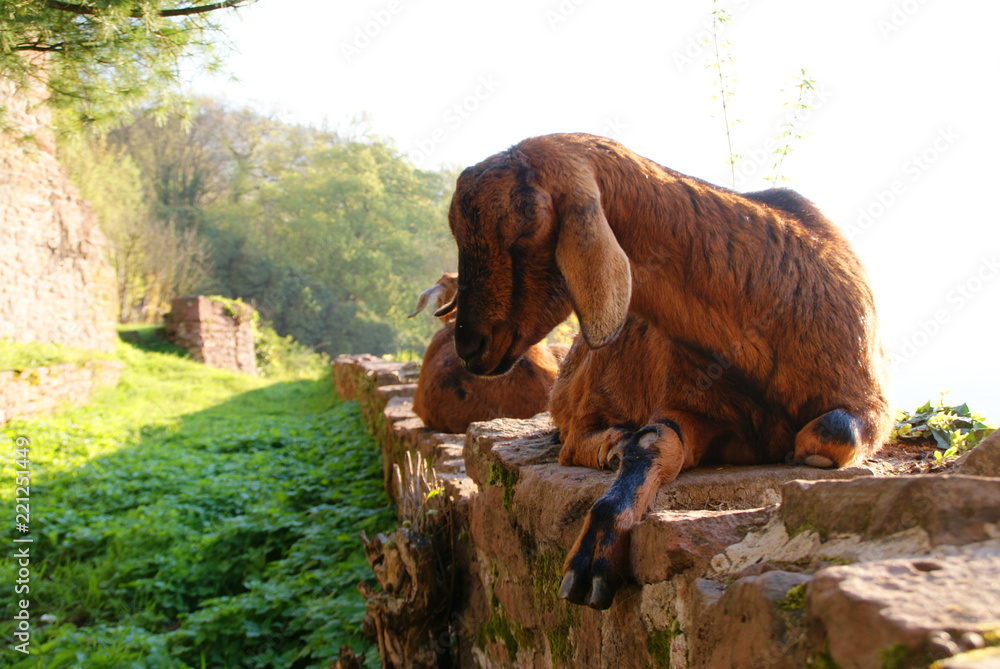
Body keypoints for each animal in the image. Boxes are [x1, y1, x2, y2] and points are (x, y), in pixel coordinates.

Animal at [441, 133, 891, 609]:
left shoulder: (872, 401)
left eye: (528, 222)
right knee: (572, 440)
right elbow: (651, 442)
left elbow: (837, 429)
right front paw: (591, 560)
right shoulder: (691, 402)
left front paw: (801, 452)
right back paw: (610, 444)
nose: (468, 345)